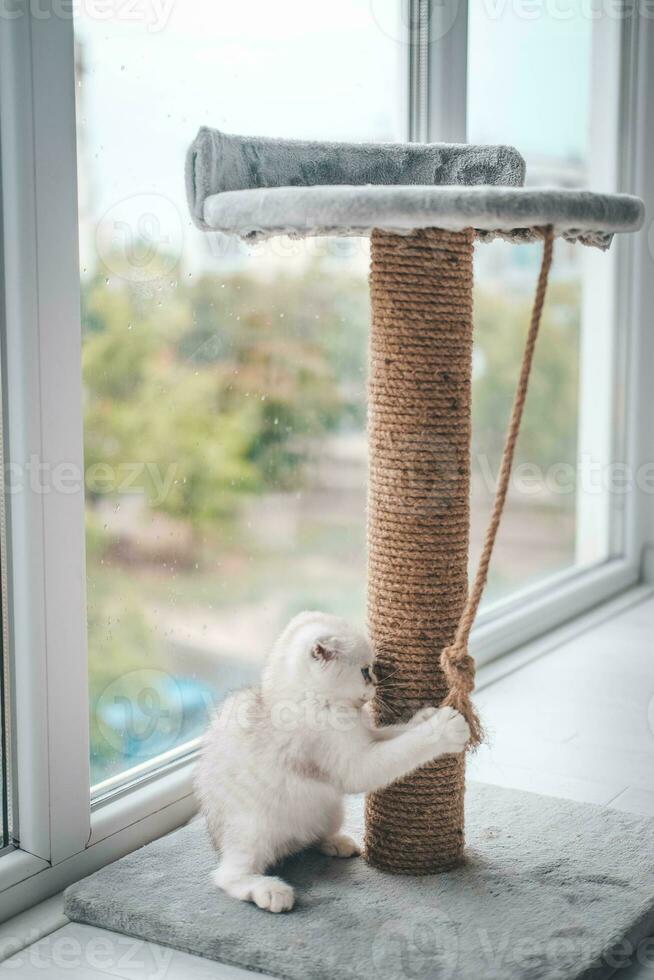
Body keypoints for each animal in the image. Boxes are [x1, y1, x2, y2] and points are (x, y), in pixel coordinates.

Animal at [196, 608, 472, 916]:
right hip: (254, 827)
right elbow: (402, 749)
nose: (376, 684)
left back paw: (336, 843)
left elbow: (395, 732)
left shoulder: (367, 735)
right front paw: (445, 728)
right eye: (365, 671)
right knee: (228, 874)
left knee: (308, 839)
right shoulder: (356, 765)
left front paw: (424, 717)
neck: (317, 702)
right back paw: (270, 890)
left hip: (329, 808)